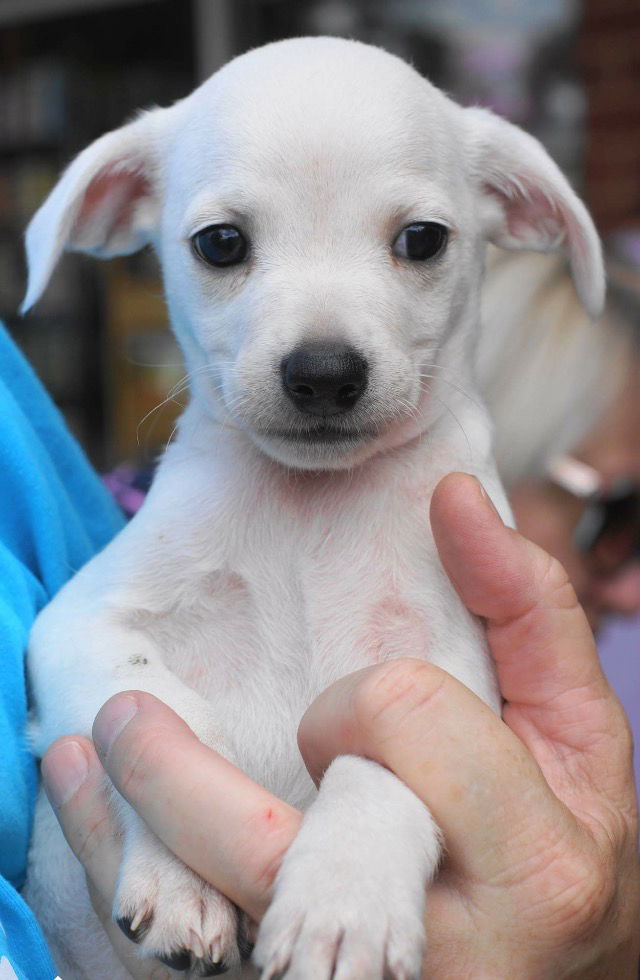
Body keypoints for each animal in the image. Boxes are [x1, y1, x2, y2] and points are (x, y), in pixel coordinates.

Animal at [20, 36, 600, 980]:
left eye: (422, 240)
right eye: (221, 243)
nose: (324, 372)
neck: (308, 511)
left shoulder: (442, 673)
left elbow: (377, 772)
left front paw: (344, 898)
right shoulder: (81, 622)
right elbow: (157, 706)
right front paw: (181, 876)